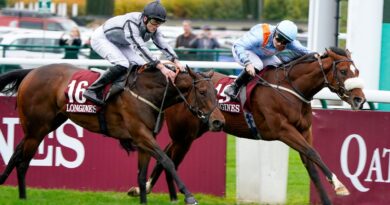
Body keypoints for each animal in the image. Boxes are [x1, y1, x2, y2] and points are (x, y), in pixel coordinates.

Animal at [0, 62, 225, 205]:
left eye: (217, 93)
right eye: (202, 92)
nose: (219, 122)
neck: (149, 92)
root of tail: (32, 71)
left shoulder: (143, 140)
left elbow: (142, 175)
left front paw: (141, 198)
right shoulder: (142, 135)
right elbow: (167, 161)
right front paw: (189, 196)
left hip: (44, 126)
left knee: (17, 154)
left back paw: (7, 185)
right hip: (37, 128)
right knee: (23, 162)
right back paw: (23, 197)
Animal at [128, 46, 366, 205]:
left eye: (357, 71)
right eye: (343, 71)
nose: (360, 100)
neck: (290, 88)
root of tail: (177, 80)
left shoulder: (304, 131)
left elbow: (312, 164)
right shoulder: (283, 130)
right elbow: (313, 153)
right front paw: (340, 185)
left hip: (194, 131)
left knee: (167, 152)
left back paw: (149, 189)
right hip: (184, 133)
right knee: (168, 155)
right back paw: (151, 189)